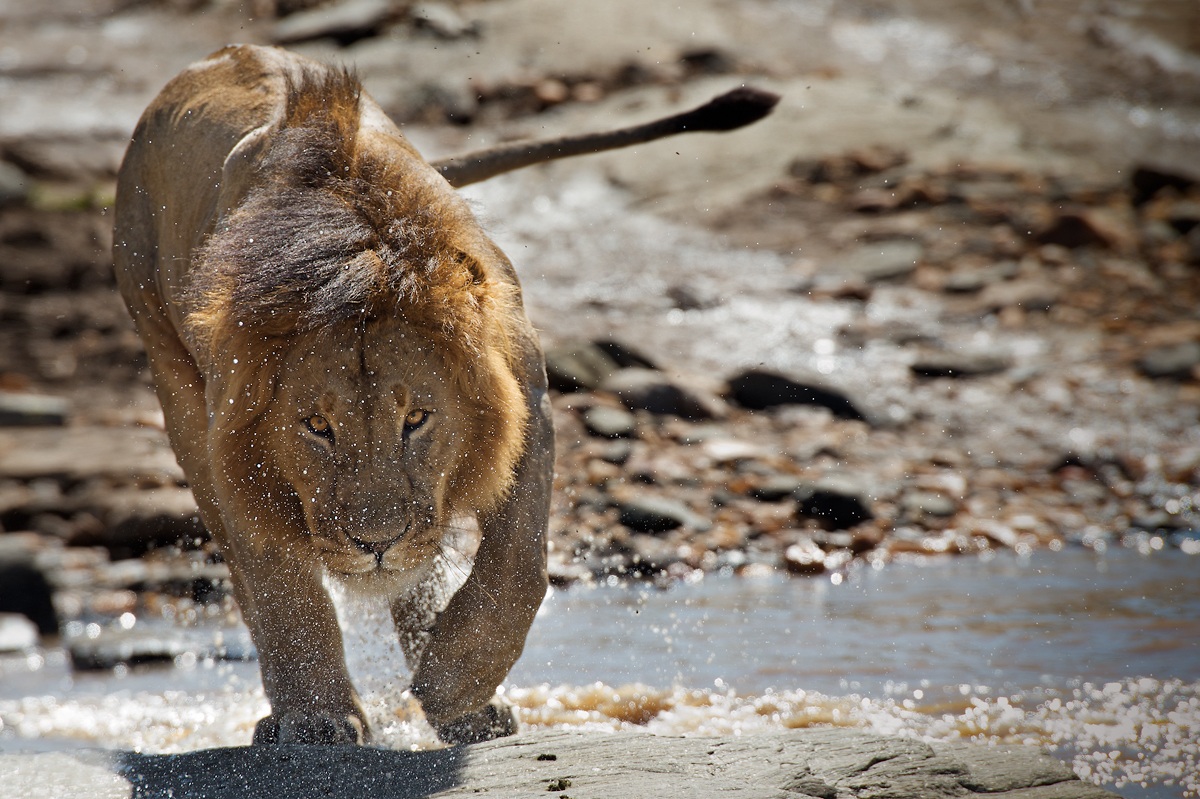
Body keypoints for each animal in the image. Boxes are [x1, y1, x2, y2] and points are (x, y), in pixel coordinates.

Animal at [113, 43, 776, 746]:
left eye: (418, 419)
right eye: (316, 427)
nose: (376, 544)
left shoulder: (527, 402)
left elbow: (518, 563)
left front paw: (456, 683)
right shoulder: (228, 442)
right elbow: (277, 581)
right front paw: (317, 717)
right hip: (171, 377)